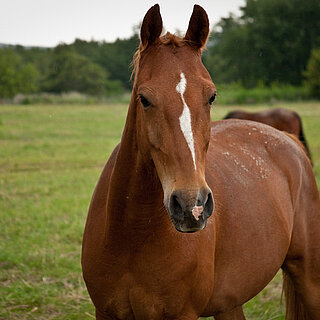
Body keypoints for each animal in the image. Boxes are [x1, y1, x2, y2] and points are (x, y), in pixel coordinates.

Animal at [82, 5, 320, 320]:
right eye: (143, 98)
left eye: (212, 96)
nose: (191, 206)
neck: (131, 235)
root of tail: (288, 139)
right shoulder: (105, 311)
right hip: (230, 302)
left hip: (309, 279)